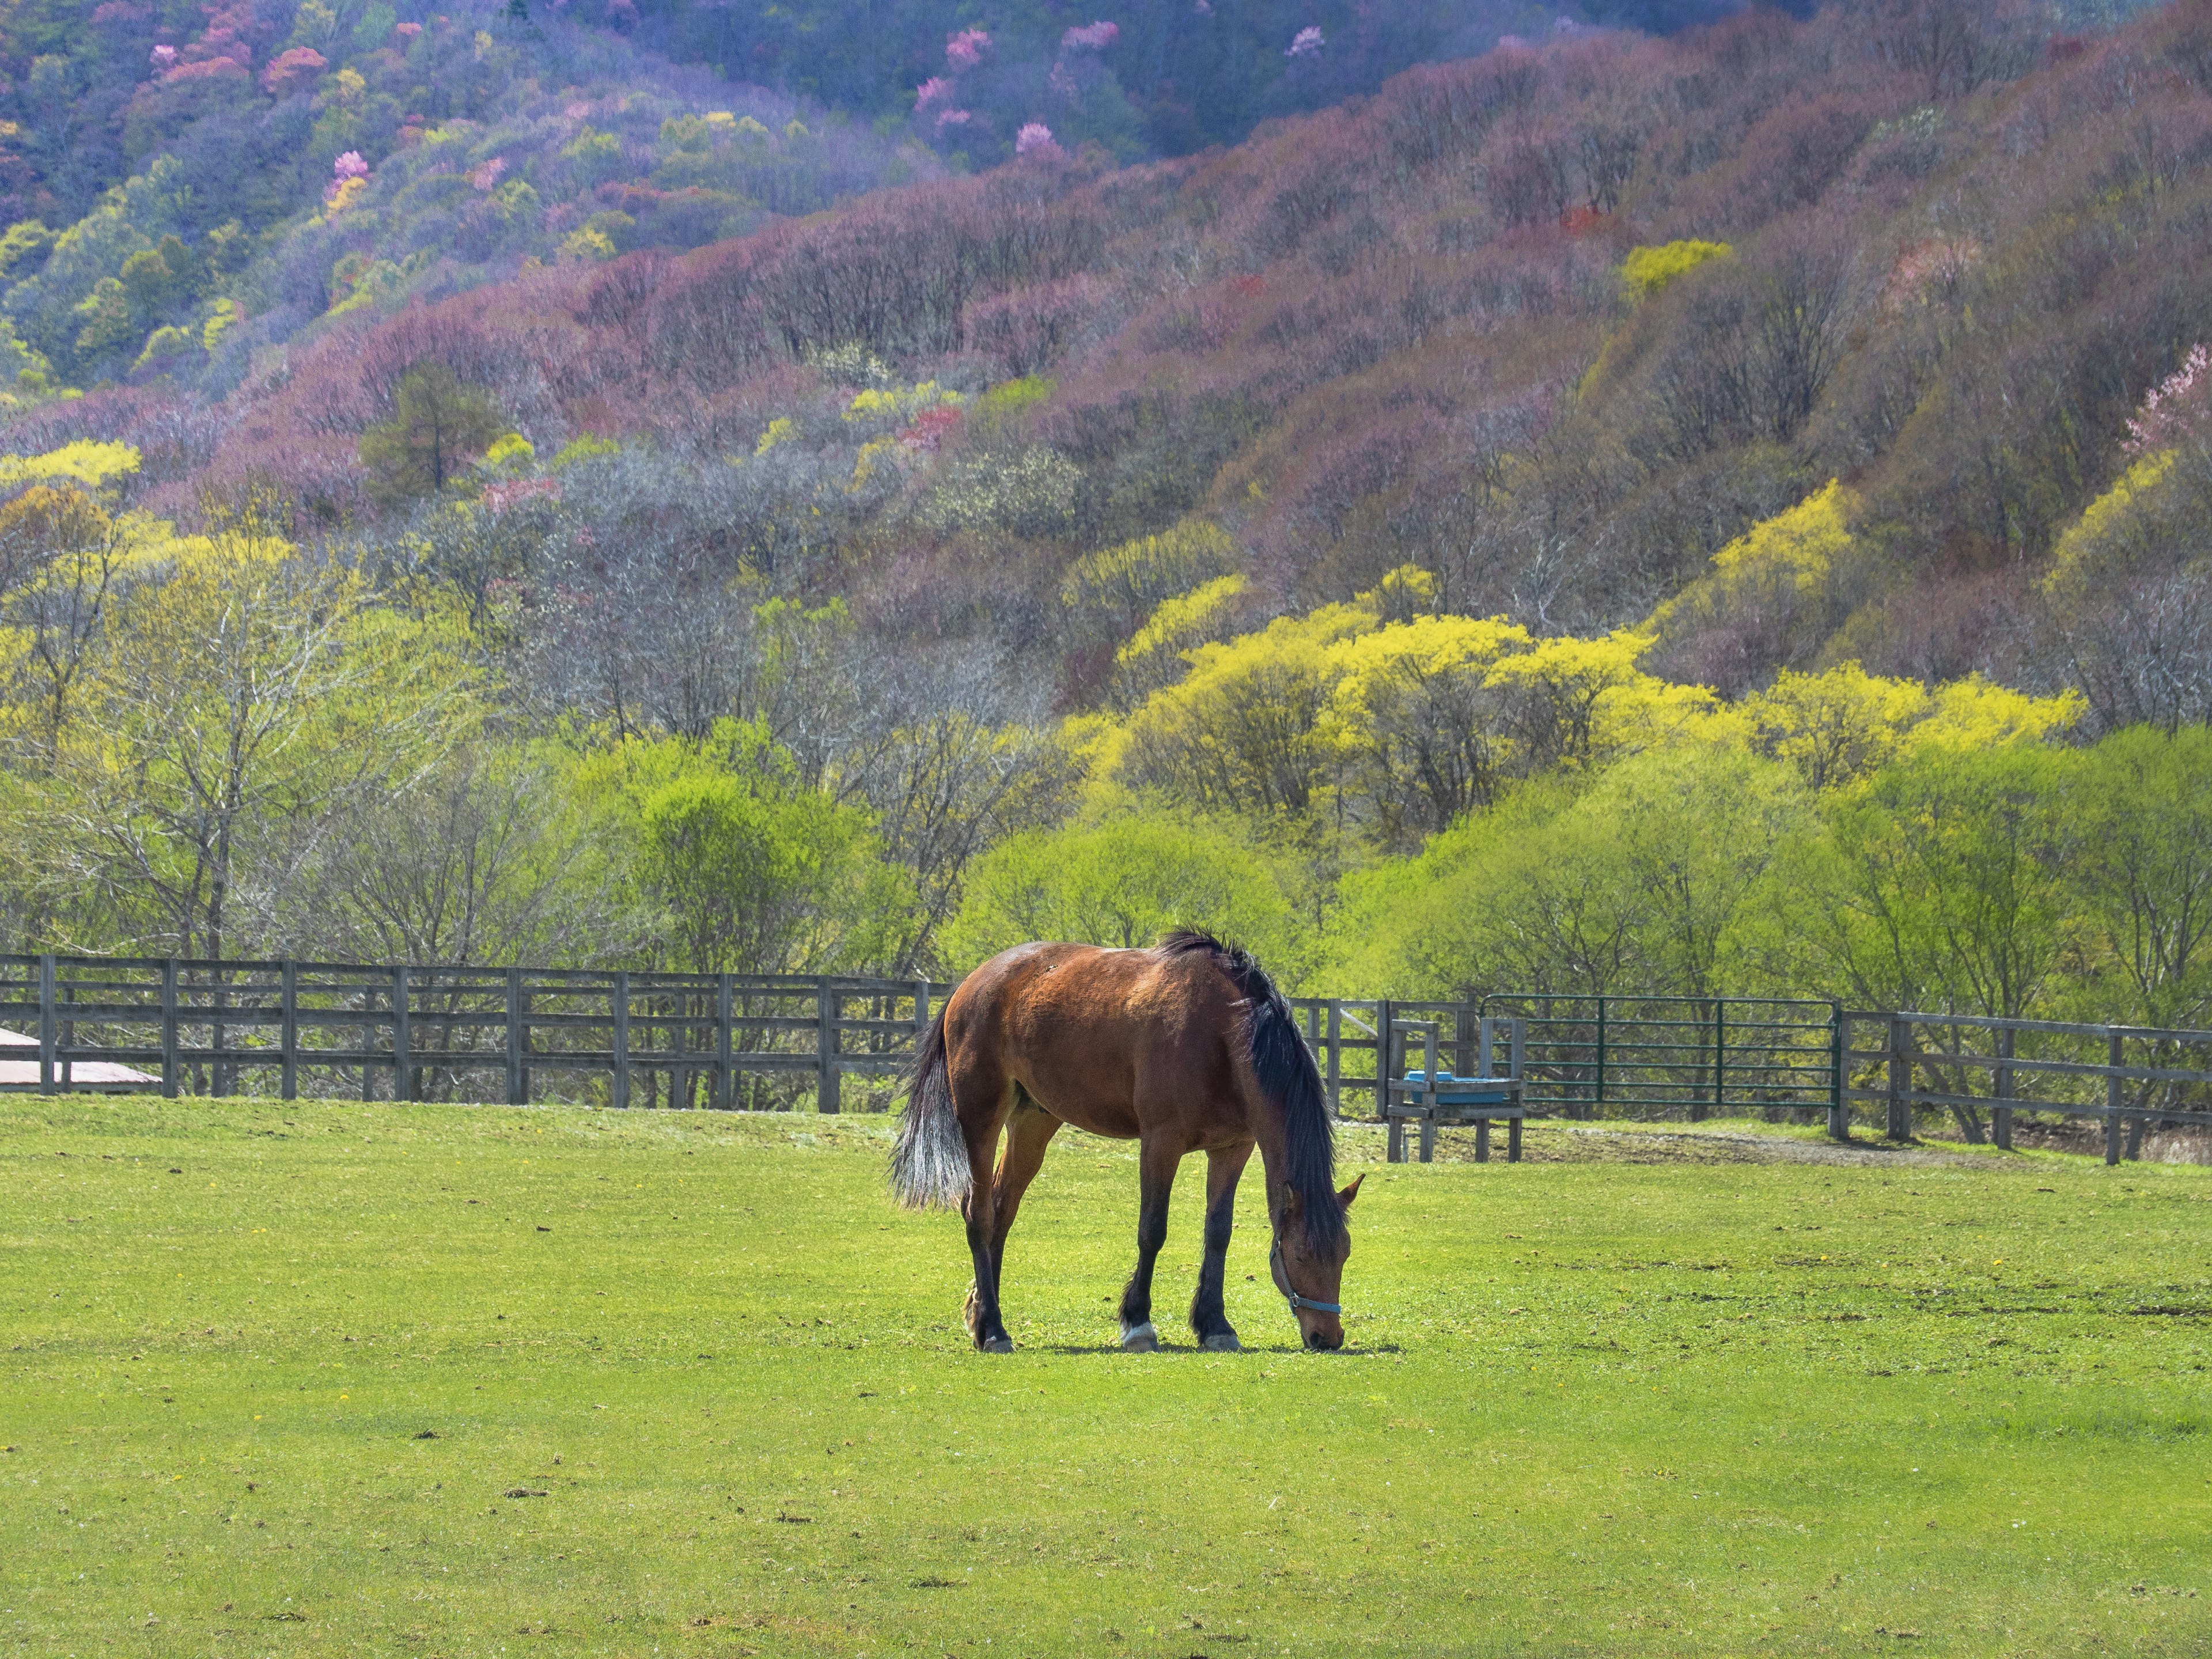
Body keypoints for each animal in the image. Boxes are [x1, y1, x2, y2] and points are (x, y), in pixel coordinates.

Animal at [889, 929, 1354, 1354]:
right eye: (1300, 1255)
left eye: (1345, 1254)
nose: (1328, 1338)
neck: (1222, 1030)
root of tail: (969, 984)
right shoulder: (1161, 1142)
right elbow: (1152, 1230)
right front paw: (1138, 1323)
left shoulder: (1232, 1148)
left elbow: (1218, 1232)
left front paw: (1215, 1325)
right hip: (980, 1119)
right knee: (979, 1214)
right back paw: (993, 1329)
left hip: (1033, 1123)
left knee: (1002, 1211)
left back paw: (983, 1317)